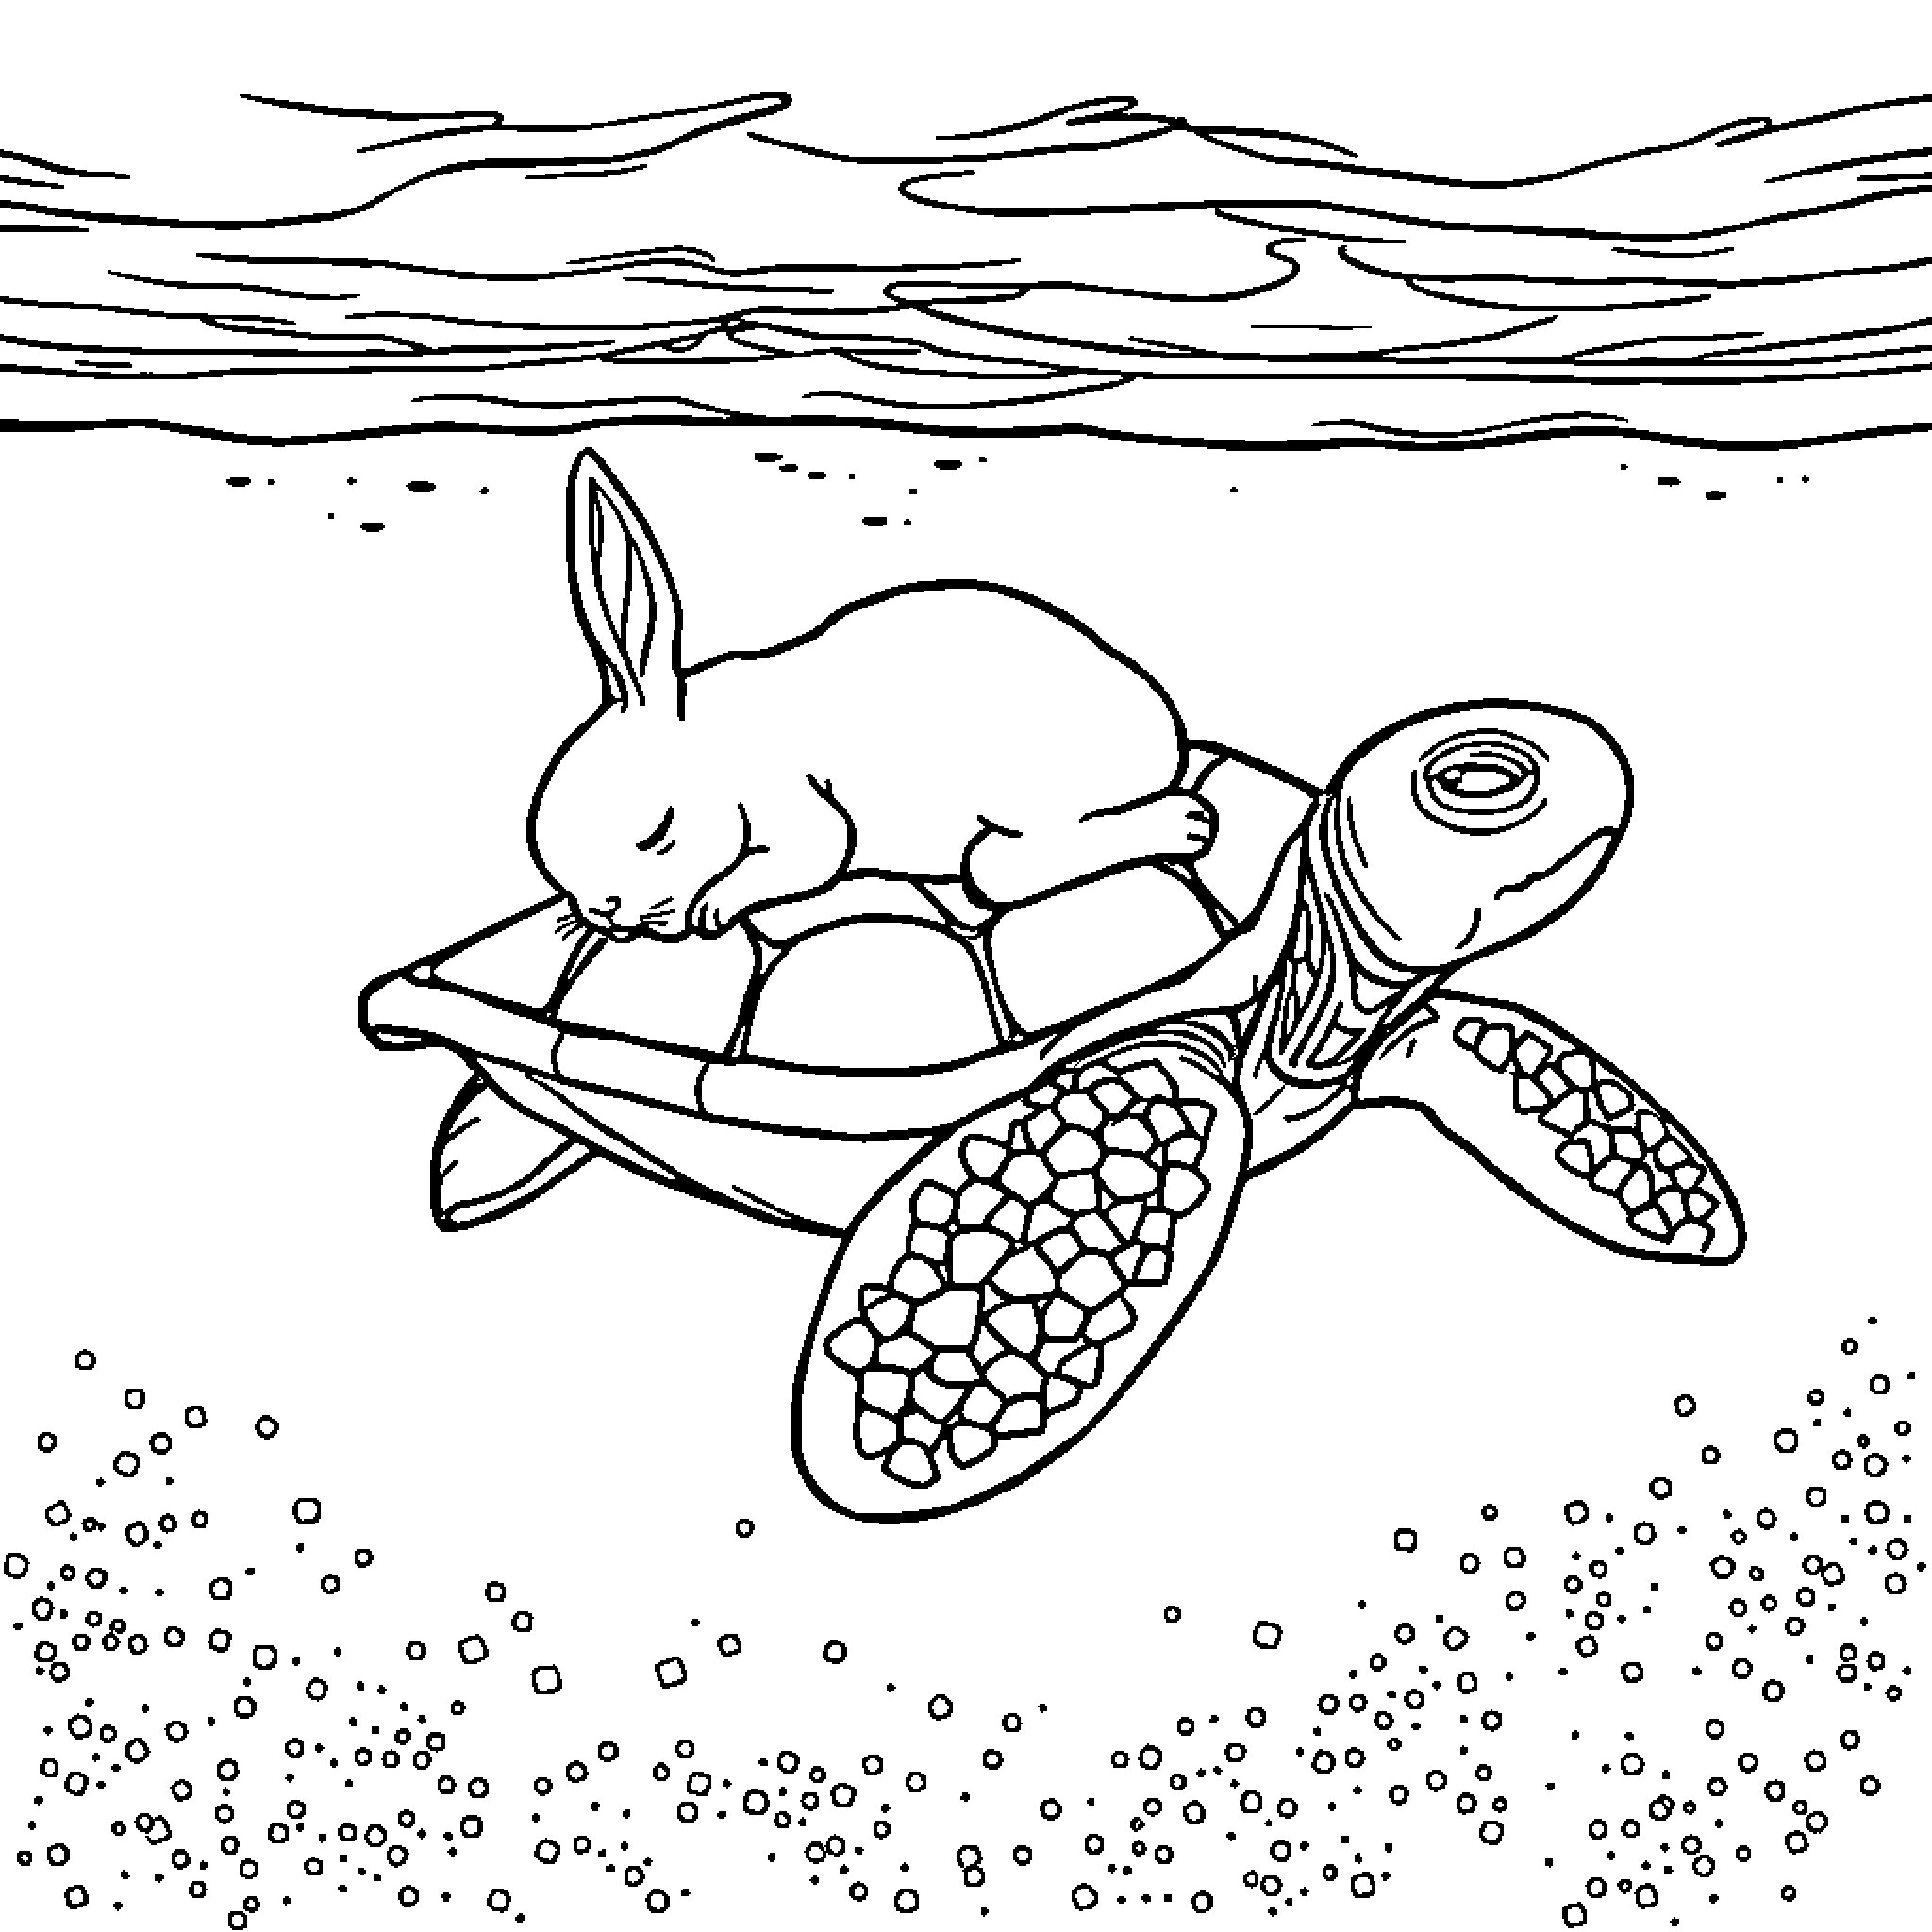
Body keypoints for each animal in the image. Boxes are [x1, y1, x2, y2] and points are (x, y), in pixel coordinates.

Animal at [527, 448, 1216, 942]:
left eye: (658, 833)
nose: (605, 910)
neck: (711, 745)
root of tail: (1166, 736)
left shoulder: (796, 804)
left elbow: (811, 852)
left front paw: (715, 905)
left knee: (996, 866)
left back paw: (1186, 825)